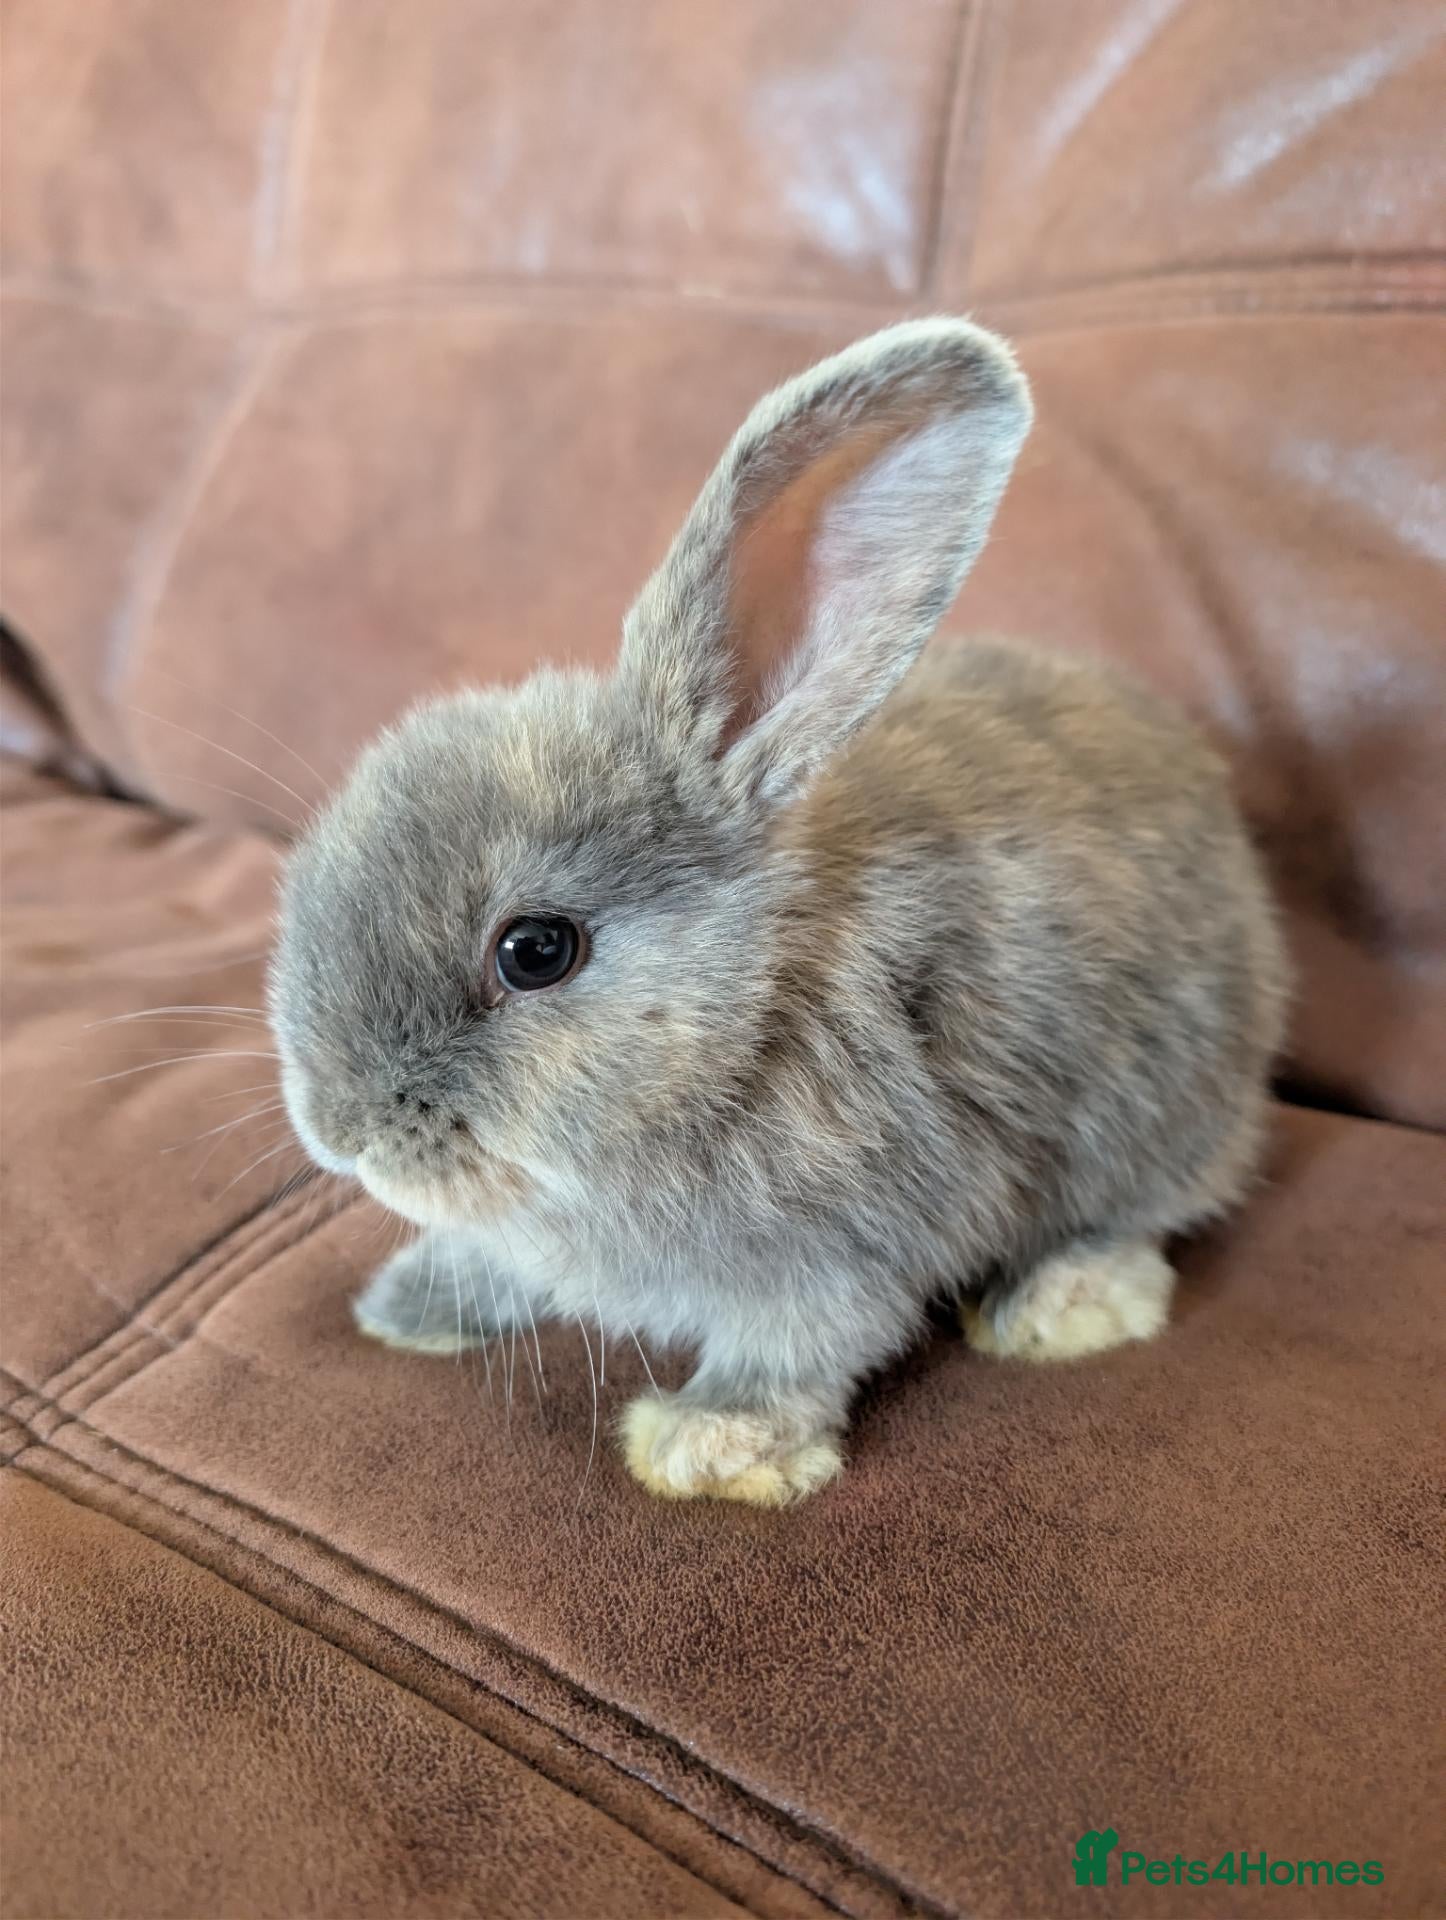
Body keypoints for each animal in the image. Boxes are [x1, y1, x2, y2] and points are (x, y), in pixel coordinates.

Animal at [270, 318, 1287, 1506]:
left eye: (536, 950)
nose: (337, 1132)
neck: (745, 1017)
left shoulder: (846, 1244)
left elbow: (802, 1347)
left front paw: (713, 1446)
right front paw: (411, 1307)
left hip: (1154, 1117)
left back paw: (1060, 1304)